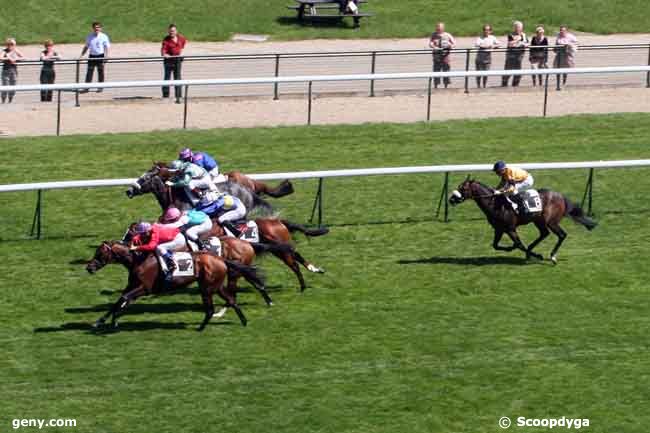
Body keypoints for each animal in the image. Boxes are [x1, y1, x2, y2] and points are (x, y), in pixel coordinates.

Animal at [87, 241, 264, 330]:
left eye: (100, 253)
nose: (89, 267)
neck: (138, 260)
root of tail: (220, 258)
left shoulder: (144, 288)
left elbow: (123, 299)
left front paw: (113, 321)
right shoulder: (132, 286)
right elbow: (118, 301)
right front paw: (100, 321)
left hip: (207, 288)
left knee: (210, 309)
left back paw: (200, 328)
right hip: (217, 286)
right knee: (232, 301)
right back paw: (244, 321)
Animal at [448, 179, 596, 264]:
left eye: (463, 188)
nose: (451, 199)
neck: (495, 203)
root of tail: (561, 196)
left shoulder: (510, 228)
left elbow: (518, 244)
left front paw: (537, 255)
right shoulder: (499, 229)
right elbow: (496, 245)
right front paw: (514, 249)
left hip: (551, 221)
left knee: (561, 235)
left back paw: (552, 256)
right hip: (539, 220)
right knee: (544, 234)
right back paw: (532, 250)